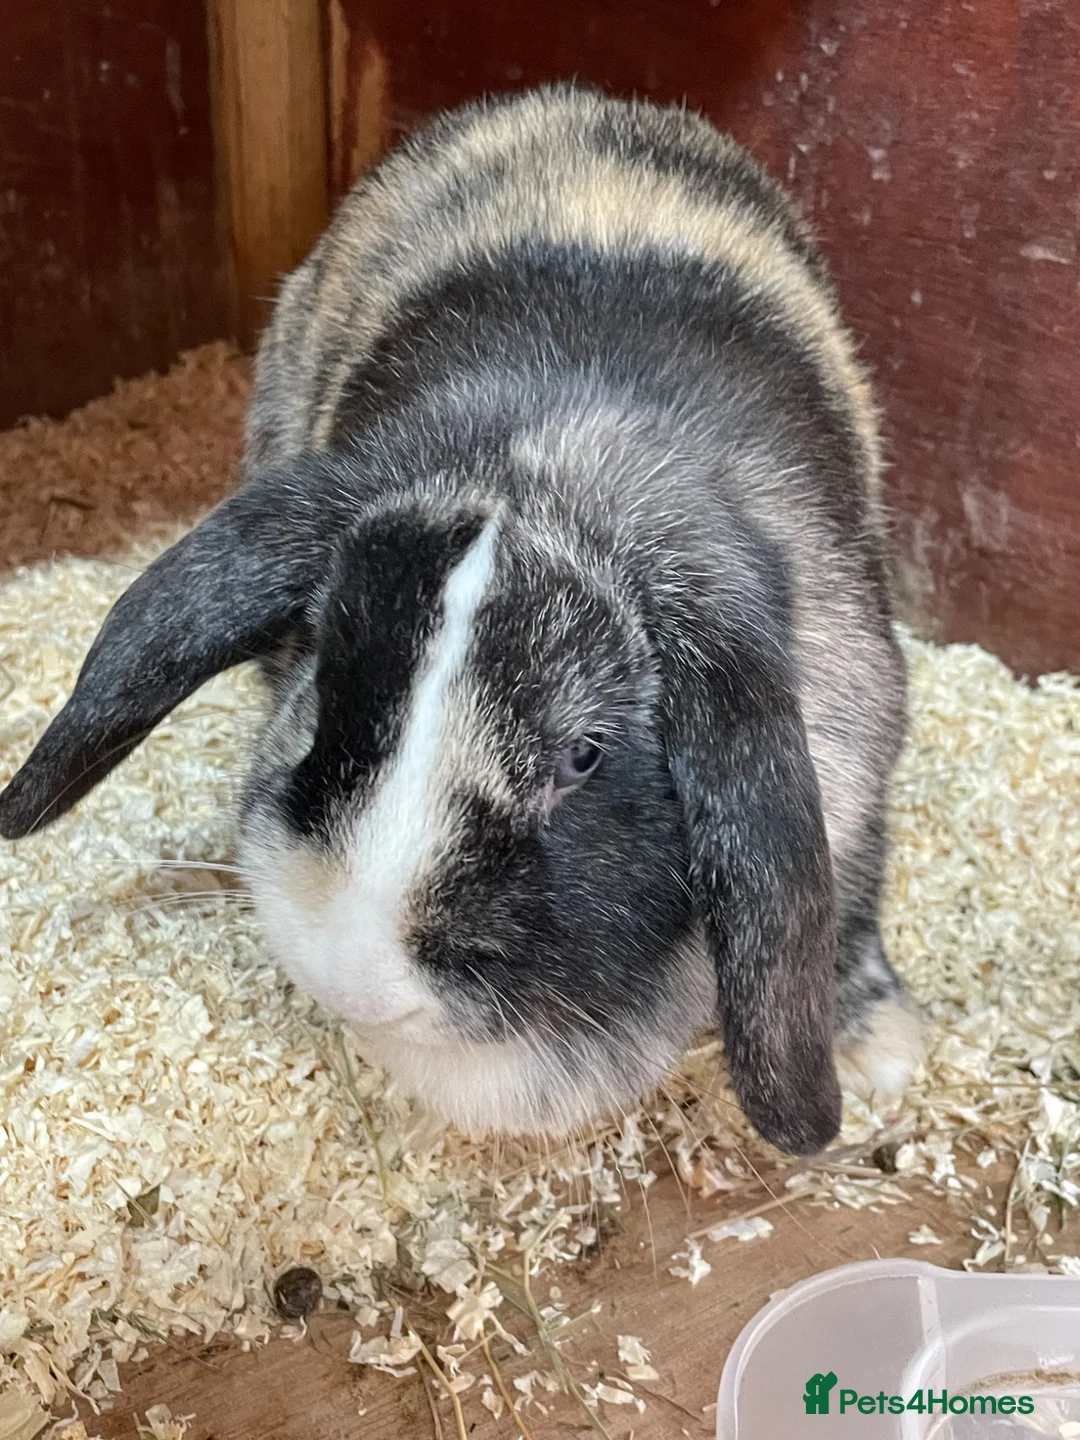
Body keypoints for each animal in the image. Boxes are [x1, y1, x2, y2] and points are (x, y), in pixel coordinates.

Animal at [0, 84, 925, 1155]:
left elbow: (851, 898)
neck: (558, 463)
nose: (354, 981)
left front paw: (878, 1049)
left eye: (584, 756)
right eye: (323, 681)